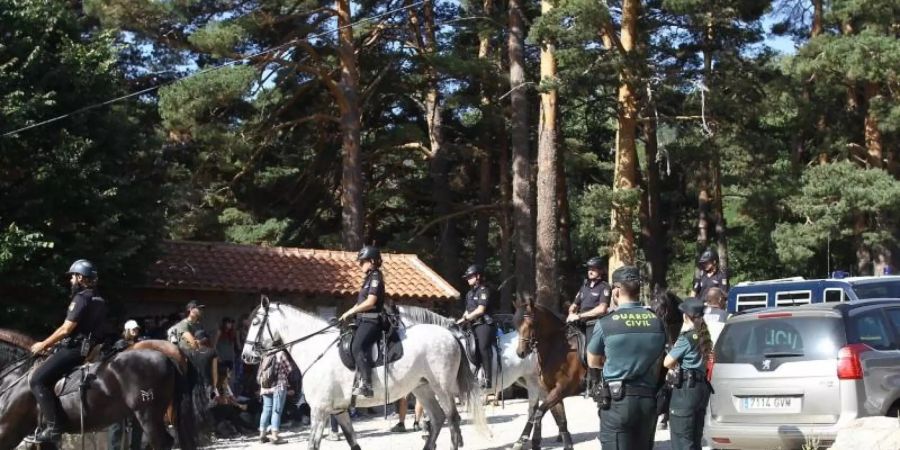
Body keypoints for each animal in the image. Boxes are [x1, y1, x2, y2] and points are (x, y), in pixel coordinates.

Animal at [243, 298, 488, 450]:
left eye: (255, 322)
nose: (246, 356)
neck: (316, 349)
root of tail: (451, 335)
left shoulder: (320, 411)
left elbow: (313, 445)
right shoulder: (339, 410)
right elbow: (353, 442)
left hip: (441, 387)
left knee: (452, 420)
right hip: (423, 387)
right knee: (437, 419)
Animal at [400, 306, 568, 442]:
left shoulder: (438, 386)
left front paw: (427, 429)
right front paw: (427, 429)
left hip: (533, 379)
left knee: (538, 407)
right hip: (525, 380)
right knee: (551, 403)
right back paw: (560, 434)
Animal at [512, 302, 584, 450]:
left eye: (530, 324)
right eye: (516, 325)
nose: (520, 353)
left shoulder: (562, 389)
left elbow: (538, 413)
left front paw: (535, 442)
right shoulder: (552, 391)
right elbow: (561, 421)